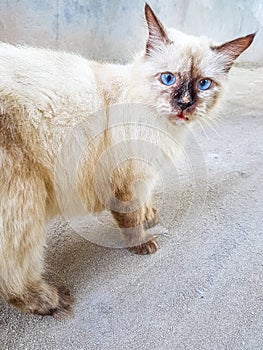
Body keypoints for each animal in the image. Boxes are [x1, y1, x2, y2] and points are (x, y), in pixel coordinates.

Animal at [0, 2, 256, 316]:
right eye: (168, 78)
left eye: (204, 84)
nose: (184, 104)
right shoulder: (128, 178)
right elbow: (131, 219)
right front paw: (143, 243)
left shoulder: (144, 176)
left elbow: (144, 204)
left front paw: (149, 215)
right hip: (25, 203)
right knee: (13, 273)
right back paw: (49, 300)